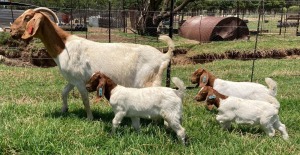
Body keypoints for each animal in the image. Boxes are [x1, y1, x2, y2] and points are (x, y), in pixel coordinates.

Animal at [10, 7, 175, 120]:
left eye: (27, 17)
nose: (11, 30)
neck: (64, 47)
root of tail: (163, 56)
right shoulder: (73, 79)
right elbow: (64, 92)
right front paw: (64, 110)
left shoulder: (79, 80)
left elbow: (84, 99)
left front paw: (90, 118)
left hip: (148, 80)